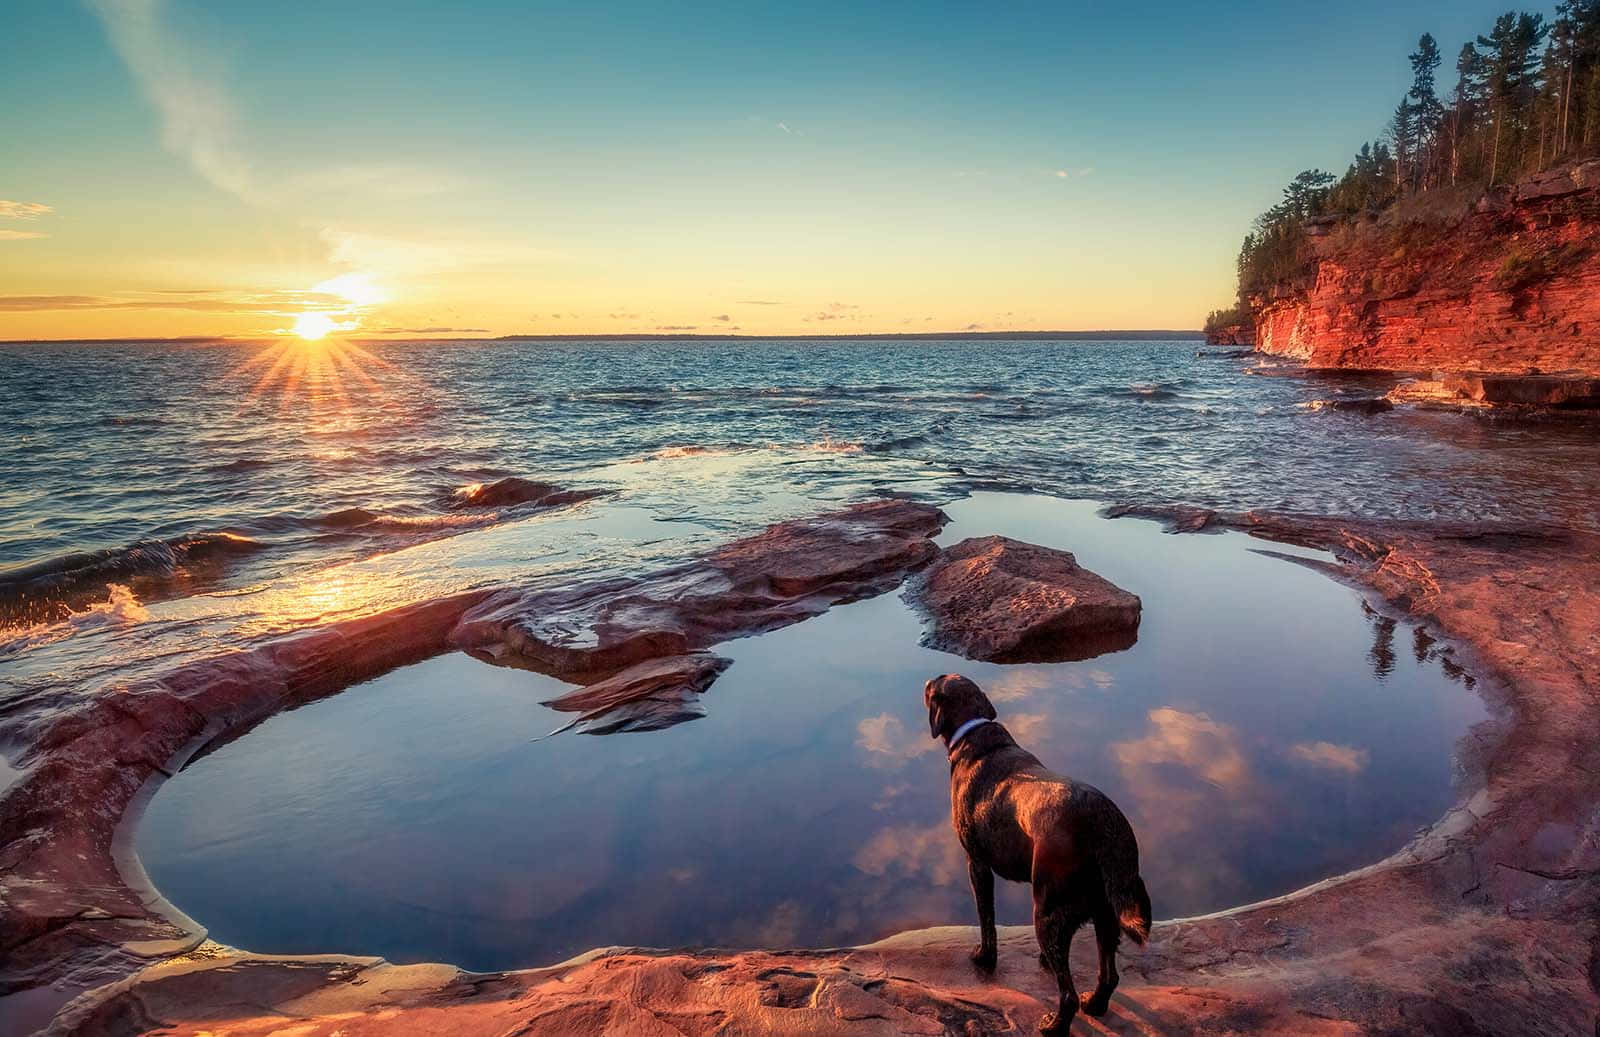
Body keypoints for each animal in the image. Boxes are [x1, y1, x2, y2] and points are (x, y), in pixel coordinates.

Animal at [928, 672, 1152, 1030]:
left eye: (930, 687)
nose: (923, 684)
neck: (976, 734)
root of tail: (1103, 824)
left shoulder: (977, 864)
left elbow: (986, 918)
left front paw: (984, 959)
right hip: (1106, 913)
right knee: (1108, 976)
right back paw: (1094, 1004)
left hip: (1046, 911)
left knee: (1068, 994)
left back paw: (1052, 1026)